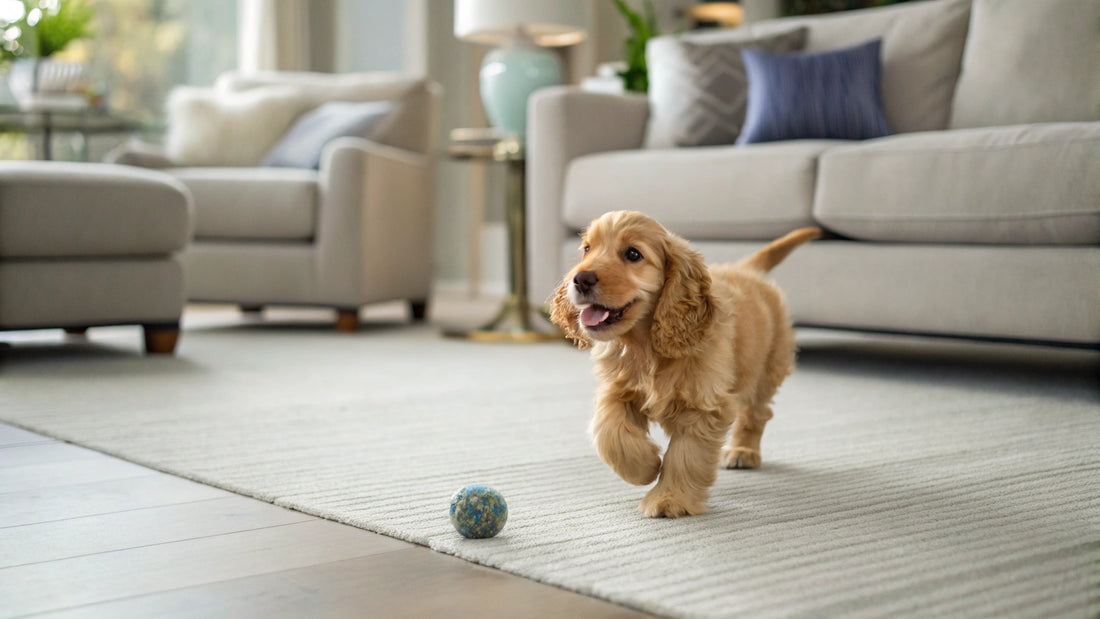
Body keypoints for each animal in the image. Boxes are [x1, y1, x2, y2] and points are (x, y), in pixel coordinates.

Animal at [550, 211, 820, 518]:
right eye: (587, 249)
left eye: (633, 254)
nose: (580, 279)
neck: (645, 346)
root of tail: (747, 269)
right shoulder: (617, 390)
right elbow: (609, 432)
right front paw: (645, 467)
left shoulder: (703, 406)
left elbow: (685, 456)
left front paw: (669, 499)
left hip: (765, 369)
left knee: (756, 413)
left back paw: (743, 451)